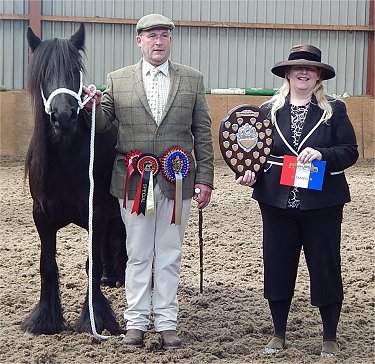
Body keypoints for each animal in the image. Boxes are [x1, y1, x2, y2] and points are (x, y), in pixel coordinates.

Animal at [23, 23, 126, 336]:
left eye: (74, 71)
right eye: (43, 73)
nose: (64, 116)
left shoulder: (97, 212)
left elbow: (91, 264)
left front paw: (96, 319)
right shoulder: (42, 217)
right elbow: (47, 265)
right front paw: (45, 319)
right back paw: (111, 278)